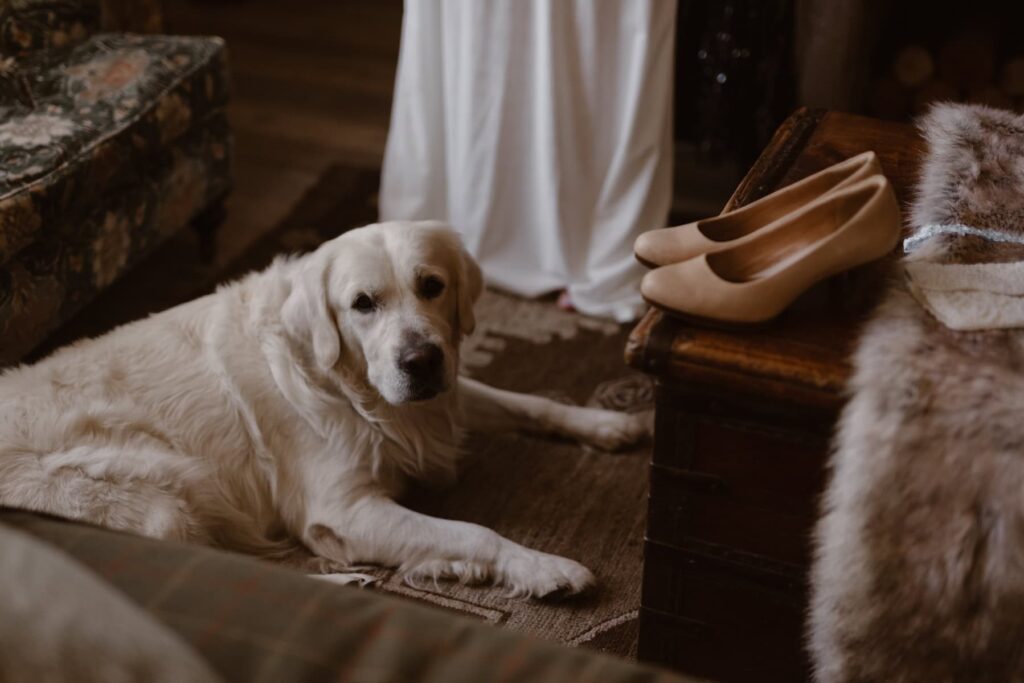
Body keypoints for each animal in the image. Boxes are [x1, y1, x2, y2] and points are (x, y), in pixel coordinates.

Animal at [0, 220, 651, 598]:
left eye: (432, 285)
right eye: (363, 303)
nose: (420, 361)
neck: (349, 387)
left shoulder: (440, 398)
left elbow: (529, 403)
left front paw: (606, 423)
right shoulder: (341, 508)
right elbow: (475, 531)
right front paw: (544, 567)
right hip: (163, 497)